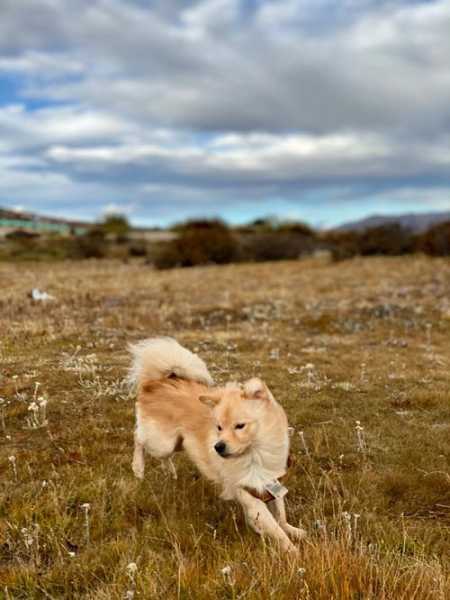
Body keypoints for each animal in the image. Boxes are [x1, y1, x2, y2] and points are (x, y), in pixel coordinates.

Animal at [130, 336, 306, 552]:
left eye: (240, 426)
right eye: (219, 427)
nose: (218, 447)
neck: (255, 453)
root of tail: (157, 381)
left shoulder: (271, 484)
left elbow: (280, 516)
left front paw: (294, 530)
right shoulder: (251, 497)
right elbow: (275, 529)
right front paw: (293, 552)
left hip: (177, 443)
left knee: (162, 455)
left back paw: (170, 471)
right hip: (162, 442)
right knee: (138, 438)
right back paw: (138, 468)